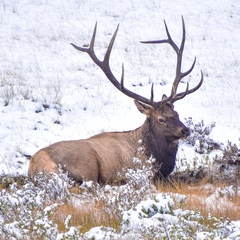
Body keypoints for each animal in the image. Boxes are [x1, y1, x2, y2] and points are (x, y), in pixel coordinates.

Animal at [28, 17, 204, 184]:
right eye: (161, 119)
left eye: (177, 113)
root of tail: (34, 167)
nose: (185, 130)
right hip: (88, 166)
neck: (157, 159)